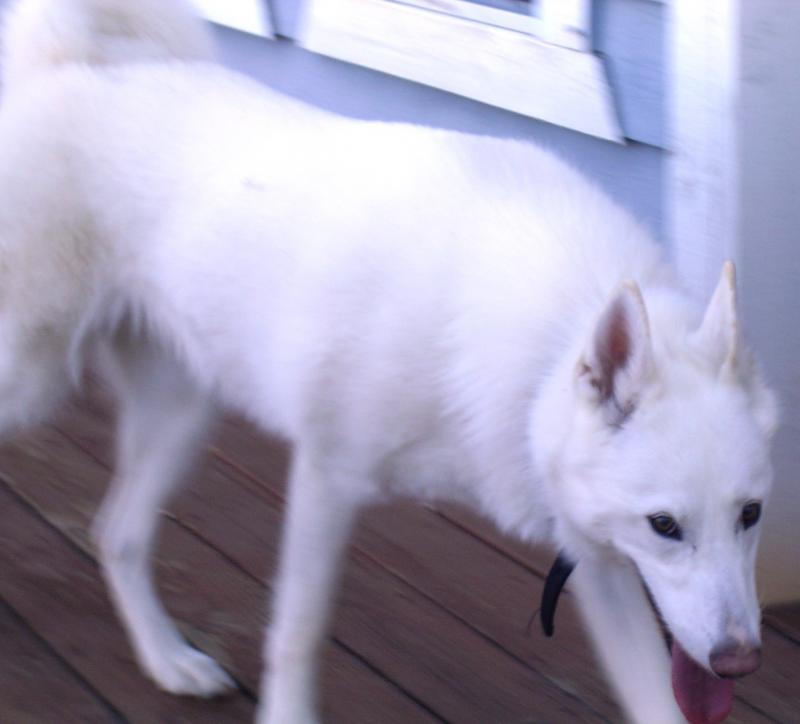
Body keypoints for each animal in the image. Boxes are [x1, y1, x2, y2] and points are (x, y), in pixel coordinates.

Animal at [0, 1, 779, 722]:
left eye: (751, 514)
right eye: (665, 526)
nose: (740, 661)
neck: (551, 336)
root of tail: (73, 63)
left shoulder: (590, 556)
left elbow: (653, 695)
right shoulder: (325, 477)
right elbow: (300, 633)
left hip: (181, 415)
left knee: (118, 536)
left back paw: (168, 660)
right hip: (34, 379)